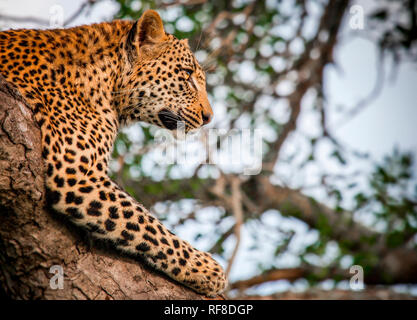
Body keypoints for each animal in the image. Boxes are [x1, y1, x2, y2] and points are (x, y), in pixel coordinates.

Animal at [0, 8, 228, 296]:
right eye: (186, 75)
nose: (209, 117)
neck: (107, 83)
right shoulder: (76, 174)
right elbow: (146, 224)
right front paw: (207, 268)